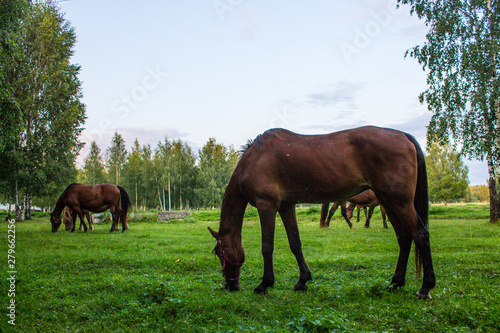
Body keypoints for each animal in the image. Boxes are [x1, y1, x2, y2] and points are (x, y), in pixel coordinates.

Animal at [207, 126, 434, 298]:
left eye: (220, 252)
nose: (230, 284)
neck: (255, 158)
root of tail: (403, 135)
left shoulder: (267, 206)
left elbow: (267, 247)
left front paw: (265, 284)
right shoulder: (286, 206)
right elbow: (295, 244)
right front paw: (302, 280)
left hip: (399, 201)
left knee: (420, 235)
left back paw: (425, 288)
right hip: (389, 201)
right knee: (404, 237)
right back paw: (396, 282)